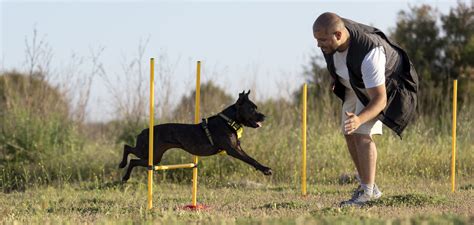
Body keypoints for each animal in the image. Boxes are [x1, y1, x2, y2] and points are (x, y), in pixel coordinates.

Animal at [120, 89, 272, 181]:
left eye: (256, 108)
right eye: (252, 109)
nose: (264, 117)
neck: (229, 121)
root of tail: (144, 131)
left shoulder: (238, 148)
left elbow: (251, 158)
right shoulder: (232, 150)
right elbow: (251, 159)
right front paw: (266, 170)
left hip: (154, 157)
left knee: (133, 159)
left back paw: (125, 175)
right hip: (148, 152)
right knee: (128, 149)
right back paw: (122, 167)